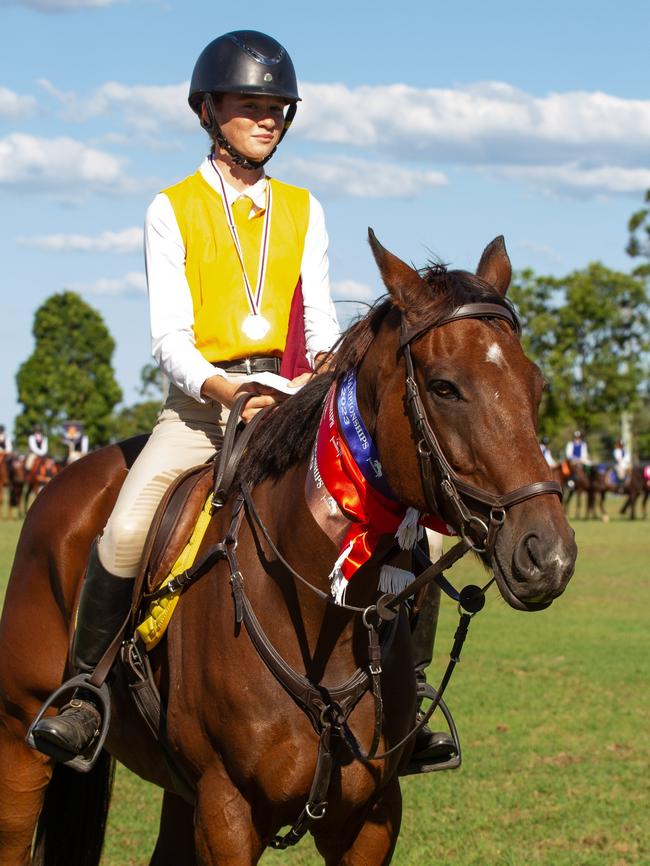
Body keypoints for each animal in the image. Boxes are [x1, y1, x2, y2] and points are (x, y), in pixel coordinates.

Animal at [0, 231, 576, 864]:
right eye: (444, 387)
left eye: (536, 385)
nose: (547, 554)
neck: (320, 614)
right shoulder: (226, 812)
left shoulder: (371, 818)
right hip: (21, 742)